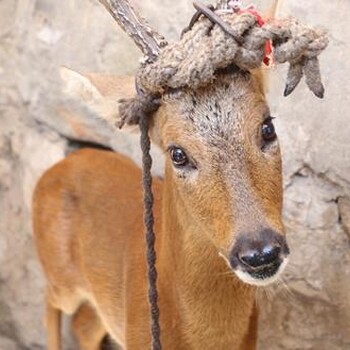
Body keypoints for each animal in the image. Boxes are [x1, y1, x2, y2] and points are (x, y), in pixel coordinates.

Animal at [32, 0, 328, 350]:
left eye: (267, 128)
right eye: (178, 154)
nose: (260, 253)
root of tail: (62, 165)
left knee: (84, 324)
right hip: (58, 273)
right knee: (50, 303)